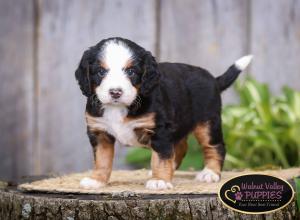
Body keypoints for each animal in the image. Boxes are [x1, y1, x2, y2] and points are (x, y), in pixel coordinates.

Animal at [75, 37, 253, 190]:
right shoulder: (100, 132)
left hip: (208, 122)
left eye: (131, 71)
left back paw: (210, 173)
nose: (115, 92)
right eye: (100, 72)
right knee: (180, 148)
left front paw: (159, 180)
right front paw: (96, 180)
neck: (118, 107)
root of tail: (214, 80)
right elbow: (102, 159)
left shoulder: (160, 130)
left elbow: (161, 157)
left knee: (215, 146)